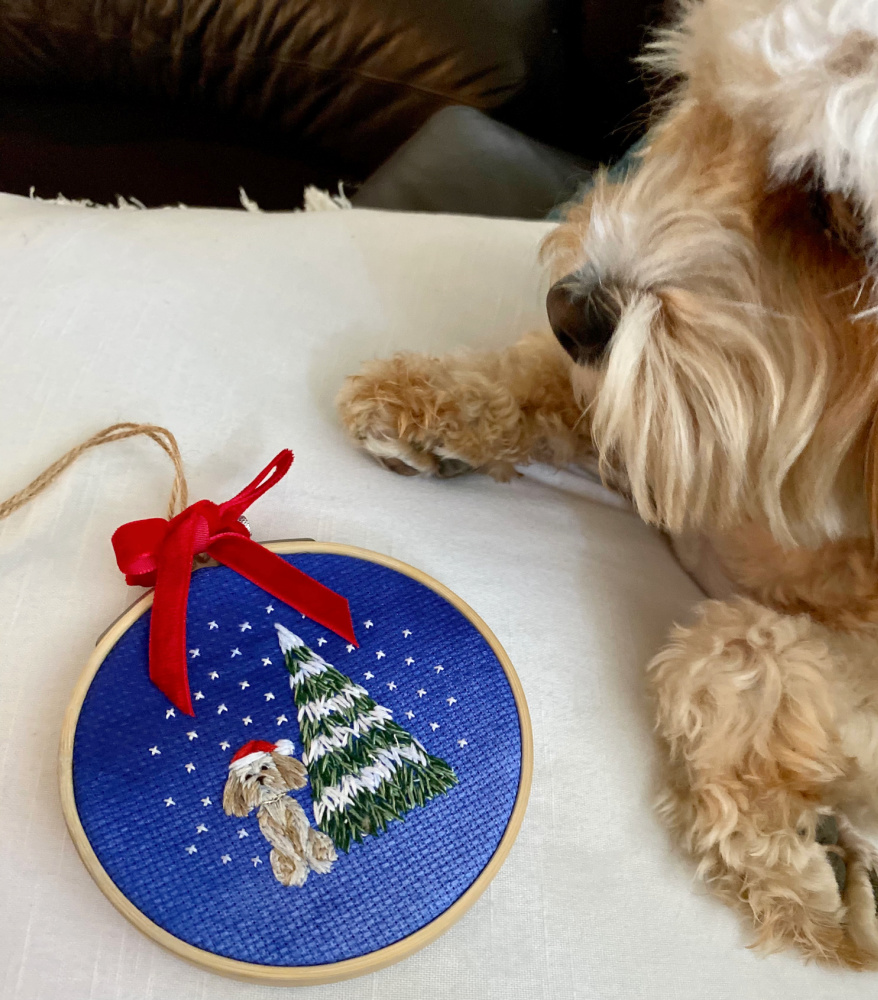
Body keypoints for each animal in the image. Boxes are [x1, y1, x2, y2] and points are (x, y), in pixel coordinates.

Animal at [223, 740, 336, 888]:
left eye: (264, 767)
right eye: (248, 776)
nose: (260, 778)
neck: (274, 804)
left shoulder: (298, 823)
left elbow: (305, 848)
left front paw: (318, 865)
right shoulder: (274, 834)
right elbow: (293, 854)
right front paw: (299, 874)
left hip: (318, 836)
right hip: (274, 855)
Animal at [342, 0, 878, 968]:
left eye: (836, 211)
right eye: (704, 97)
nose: (569, 309)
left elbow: (735, 648)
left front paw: (793, 884)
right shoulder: (665, 418)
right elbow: (551, 382)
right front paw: (424, 397)